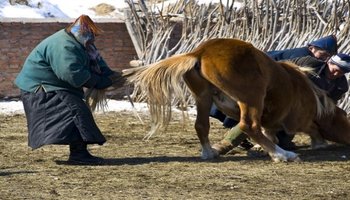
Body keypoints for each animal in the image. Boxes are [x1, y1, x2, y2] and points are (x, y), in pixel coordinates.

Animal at [125, 38, 336, 162]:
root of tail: (199, 52)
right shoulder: (296, 120)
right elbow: (309, 127)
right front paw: (317, 142)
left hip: (203, 97)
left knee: (201, 125)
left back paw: (209, 152)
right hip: (252, 97)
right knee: (249, 126)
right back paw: (282, 155)